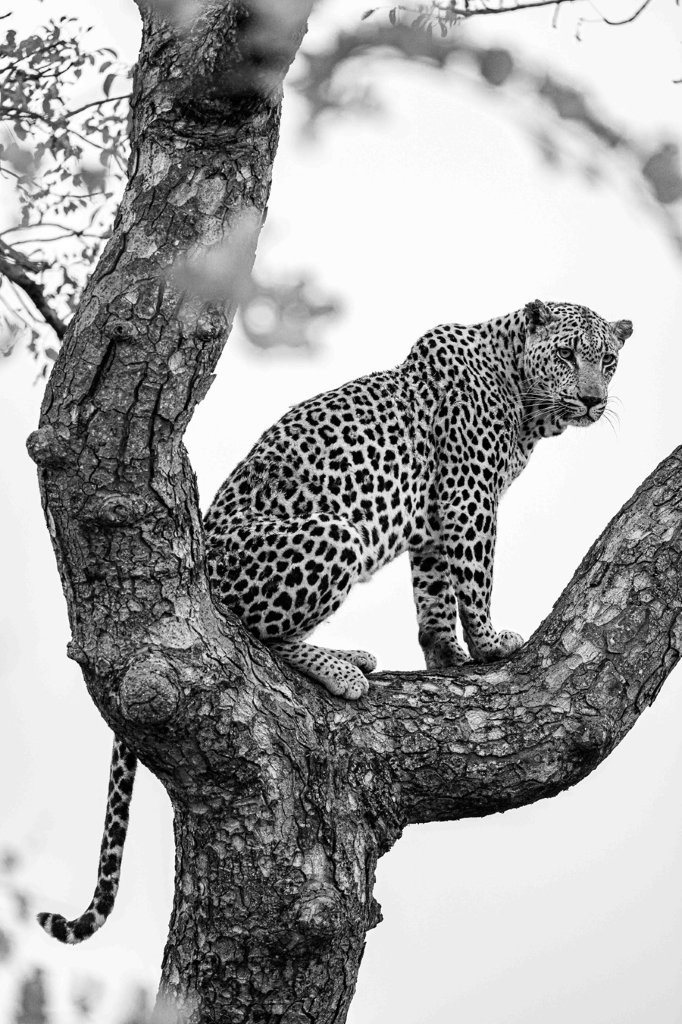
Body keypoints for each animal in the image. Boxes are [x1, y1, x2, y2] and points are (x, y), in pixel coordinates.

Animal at [36, 299, 631, 944]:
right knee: (253, 632)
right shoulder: (470, 499)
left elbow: (433, 594)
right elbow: (475, 578)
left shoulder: (435, 519)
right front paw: (491, 643)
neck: (521, 392)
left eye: (608, 361)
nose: (594, 400)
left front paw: (445, 653)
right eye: (568, 354)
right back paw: (340, 668)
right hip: (335, 534)